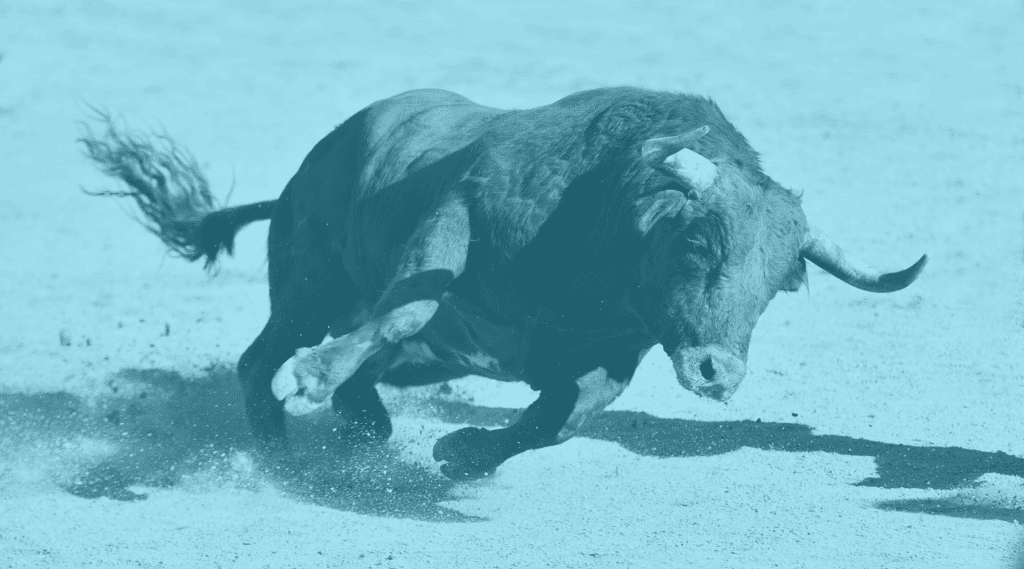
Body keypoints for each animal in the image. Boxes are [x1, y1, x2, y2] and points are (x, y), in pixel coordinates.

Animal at [82, 87, 926, 480]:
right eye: (696, 243)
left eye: (780, 283)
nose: (719, 372)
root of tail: (306, 170)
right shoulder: (456, 214)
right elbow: (414, 301)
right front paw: (312, 377)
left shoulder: (613, 350)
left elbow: (565, 415)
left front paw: (461, 451)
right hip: (308, 289)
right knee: (261, 360)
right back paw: (280, 445)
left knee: (361, 387)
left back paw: (363, 429)